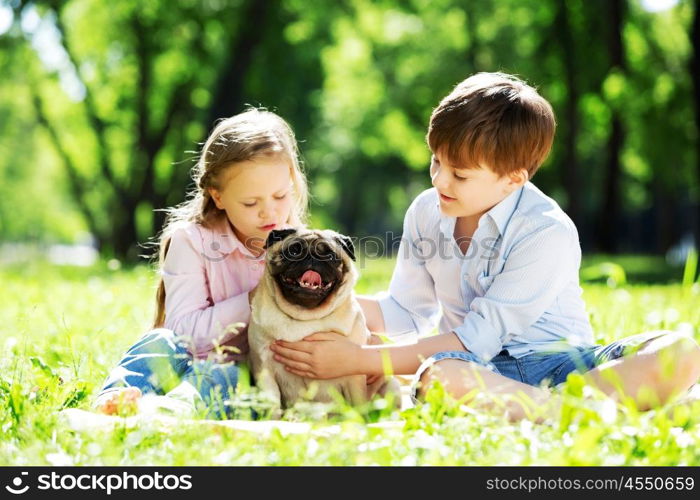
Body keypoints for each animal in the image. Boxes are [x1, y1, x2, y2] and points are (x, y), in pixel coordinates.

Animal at [247, 229, 380, 408]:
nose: (312, 258)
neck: (304, 315)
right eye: (294, 251)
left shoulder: (354, 379)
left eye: (330, 255)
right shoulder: (264, 371)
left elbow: (358, 405)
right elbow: (272, 405)